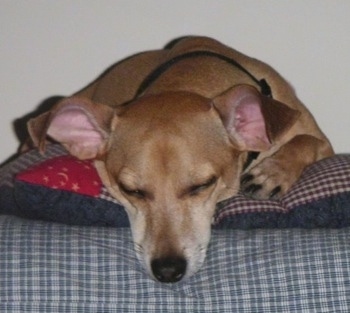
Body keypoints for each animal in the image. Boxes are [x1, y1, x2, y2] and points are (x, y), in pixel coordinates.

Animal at [28, 37, 334, 282]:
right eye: (131, 190)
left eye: (202, 185)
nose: (168, 271)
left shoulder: (323, 143)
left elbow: (307, 141)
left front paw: (272, 172)